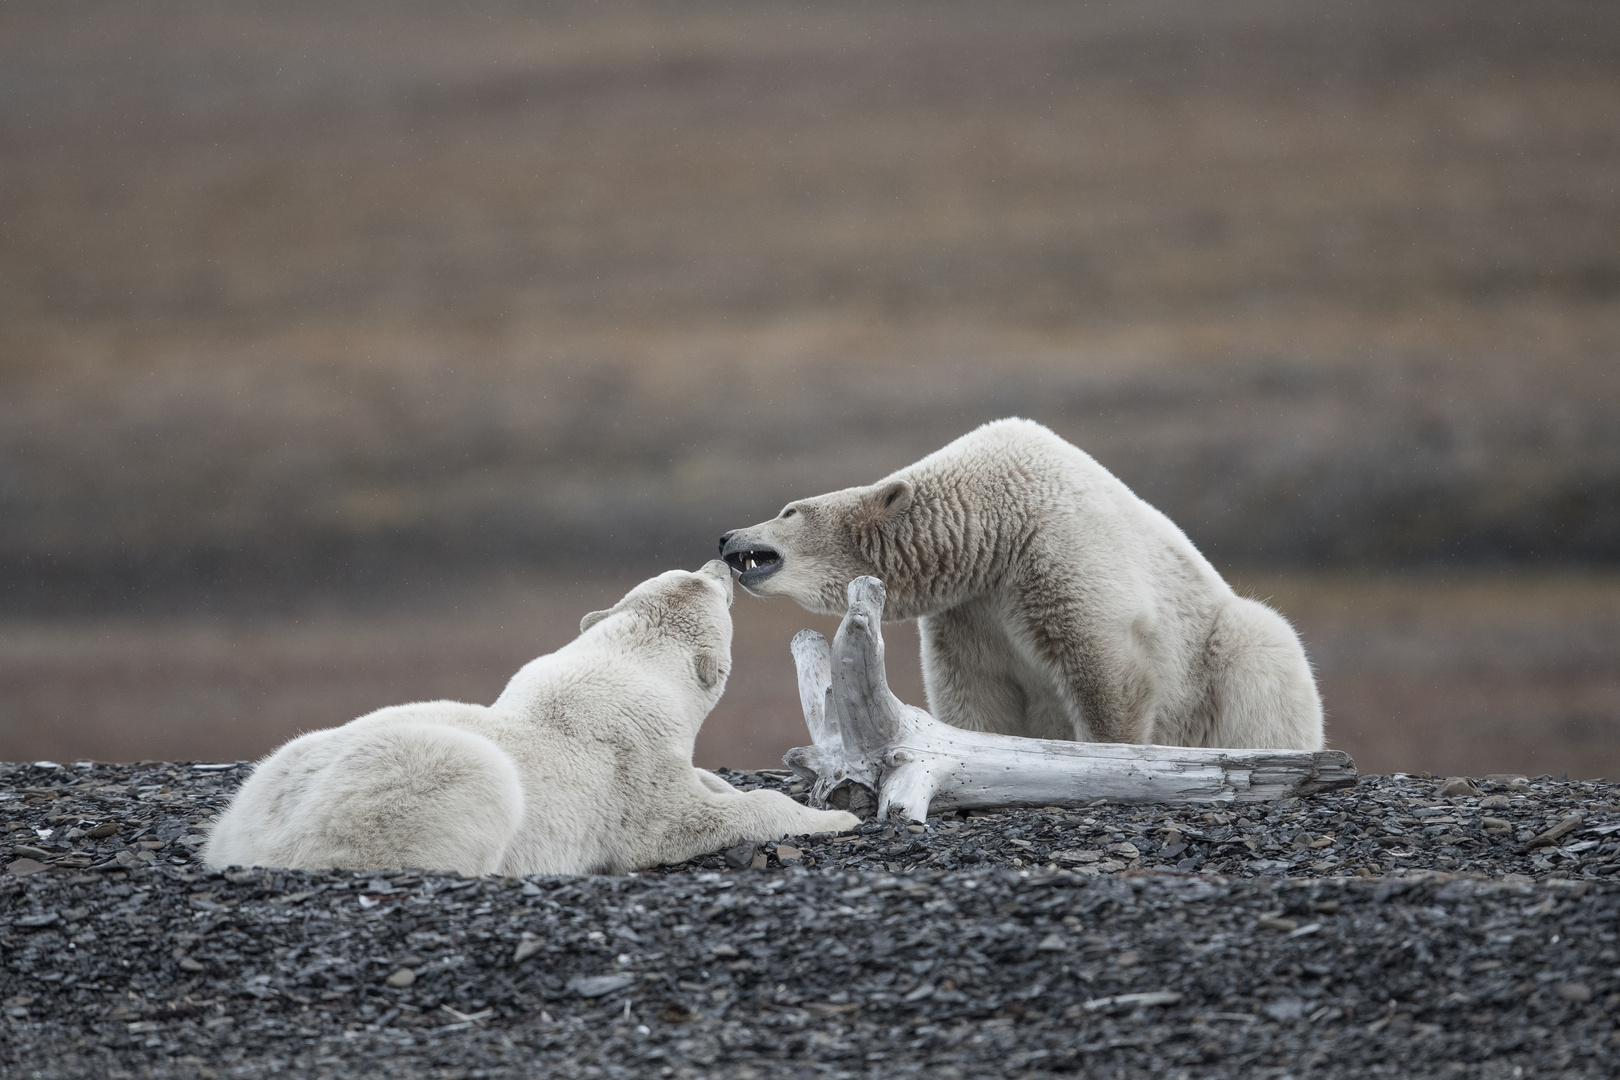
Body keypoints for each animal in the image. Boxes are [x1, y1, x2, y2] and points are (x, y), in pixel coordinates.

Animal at [204, 557, 861, 880]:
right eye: (701, 583)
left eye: (686, 575)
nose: (720, 562)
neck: (624, 672)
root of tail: (250, 838)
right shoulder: (630, 773)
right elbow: (674, 824)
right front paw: (833, 816)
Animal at [725, 417, 1328, 751]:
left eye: (788, 510)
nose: (728, 536)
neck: (996, 522)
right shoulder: (971, 608)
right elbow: (977, 690)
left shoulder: (1059, 554)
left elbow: (1109, 671)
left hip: (1219, 655)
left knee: (1265, 655)